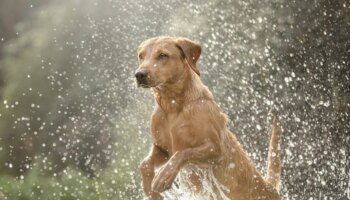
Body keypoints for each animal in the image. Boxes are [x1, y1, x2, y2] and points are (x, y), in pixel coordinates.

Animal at [135, 36, 282, 200]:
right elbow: (144, 164)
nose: (139, 74)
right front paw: (150, 190)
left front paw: (163, 177)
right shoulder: (162, 149)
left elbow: (183, 153)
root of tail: (270, 187)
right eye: (141, 56)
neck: (172, 105)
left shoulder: (216, 149)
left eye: (163, 55)